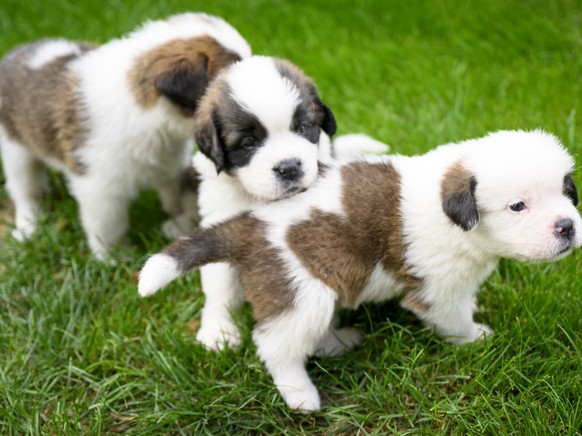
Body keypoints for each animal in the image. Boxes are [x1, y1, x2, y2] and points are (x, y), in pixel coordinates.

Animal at [0, 12, 251, 258]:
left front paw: (178, 222)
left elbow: (176, 193)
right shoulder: (99, 189)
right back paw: (27, 227)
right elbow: (108, 227)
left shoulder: (171, 163)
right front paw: (115, 258)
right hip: (15, 150)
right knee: (25, 190)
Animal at [141, 127, 582, 410]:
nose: (567, 226)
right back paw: (300, 394)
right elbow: (452, 319)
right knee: (277, 345)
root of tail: (249, 223)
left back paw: (339, 342)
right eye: (518, 206)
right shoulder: (438, 287)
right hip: (301, 294)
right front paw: (476, 338)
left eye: (566, 191)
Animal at [160, 56, 390, 350]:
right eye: (248, 142)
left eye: (302, 128)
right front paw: (219, 330)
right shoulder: (220, 216)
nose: (289, 168)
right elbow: (220, 283)